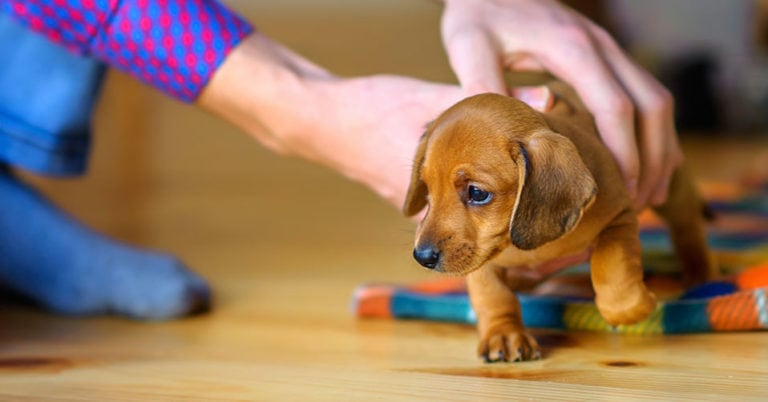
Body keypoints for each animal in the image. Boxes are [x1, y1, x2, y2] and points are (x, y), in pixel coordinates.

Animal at [404, 82, 712, 364]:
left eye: (477, 193)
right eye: (427, 188)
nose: (422, 257)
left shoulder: (620, 218)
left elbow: (611, 268)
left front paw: (633, 307)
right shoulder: (483, 262)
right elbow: (492, 295)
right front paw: (503, 334)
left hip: (671, 189)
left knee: (688, 231)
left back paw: (701, 274)